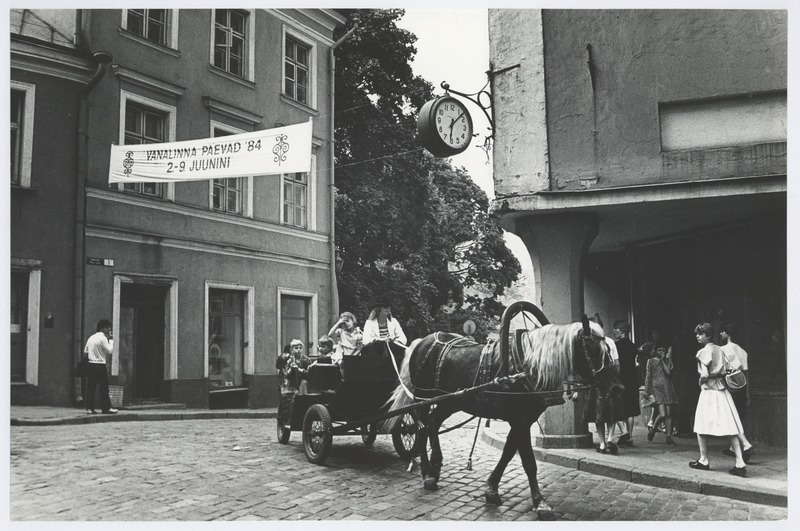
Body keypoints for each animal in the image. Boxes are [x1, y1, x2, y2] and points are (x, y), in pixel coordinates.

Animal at [384, 304, 620, 520]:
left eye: (609, 349)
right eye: (594, 349)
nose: (616, 388)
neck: (525, 365)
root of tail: (421, 342)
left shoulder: (522, 420)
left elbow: (508, 453)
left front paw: (491, 489)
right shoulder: (520, 420)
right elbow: (528, 462)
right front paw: (539, 502)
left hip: (450, 401)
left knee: (431, 423)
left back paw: (432, 469)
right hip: (423, 398)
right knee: (422, 426)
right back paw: (429, 471)